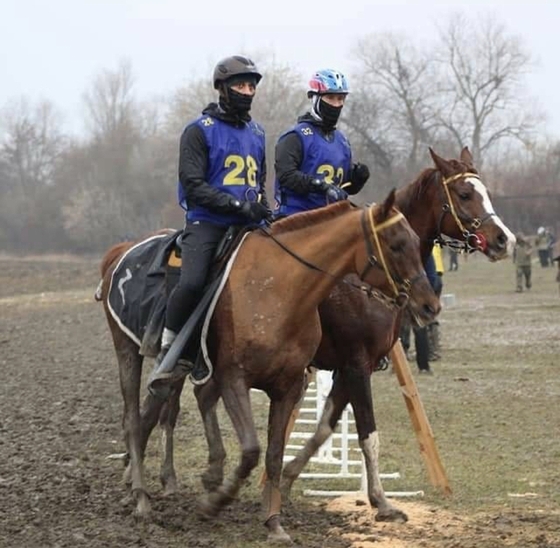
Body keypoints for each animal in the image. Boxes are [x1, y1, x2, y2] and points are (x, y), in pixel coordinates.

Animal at [98, 191, 440, 540]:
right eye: (395, 244)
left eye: (415, 241)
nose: (430, 305)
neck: (278, 289)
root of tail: (119, 256)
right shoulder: (241, 379)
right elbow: (256, 449)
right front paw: (216, 502)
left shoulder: (294, 385)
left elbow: (286, 448)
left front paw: (274, 517)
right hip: (130, 351)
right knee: (136, 418)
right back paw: (142, 497)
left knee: (168, 410)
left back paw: (184, 476)